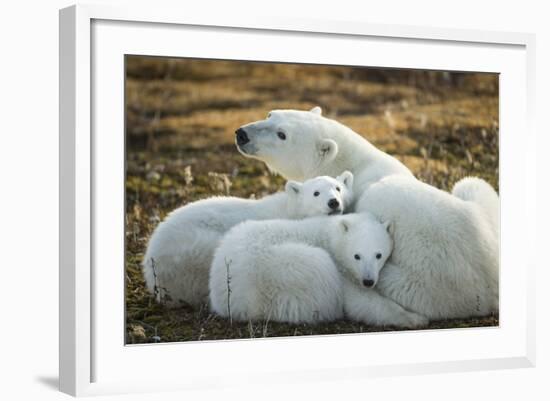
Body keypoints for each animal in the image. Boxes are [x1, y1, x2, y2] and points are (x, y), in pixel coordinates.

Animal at [209, 212, 430, 328]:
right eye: (357, 256)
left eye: (379, 255)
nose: (368, 281)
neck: (330, 236)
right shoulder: (340, 269)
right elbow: (362, 303)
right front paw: (417, 318)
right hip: (281, 271)